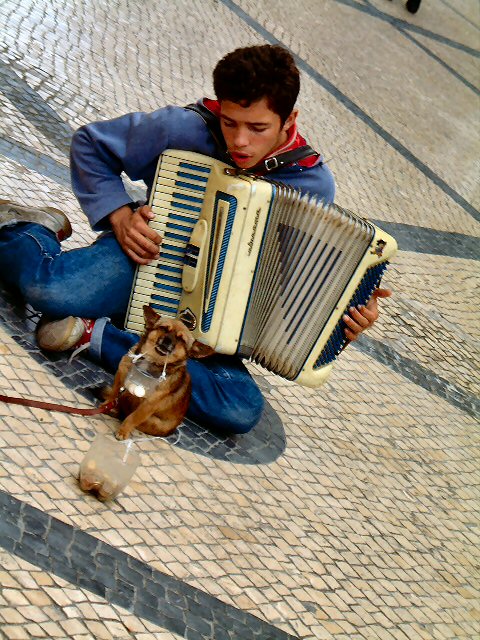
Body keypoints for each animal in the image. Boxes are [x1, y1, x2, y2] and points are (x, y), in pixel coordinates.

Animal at [102, 304, 211, 440]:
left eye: (181, 340)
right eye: (163, 328)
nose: (167, 340)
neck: (151, 362)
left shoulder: (148, 405)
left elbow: (133, 418)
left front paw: (123, 431)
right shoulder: (120, 378)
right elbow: (112, 395)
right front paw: (105, 406)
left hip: (153, 421)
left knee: (128, 414)